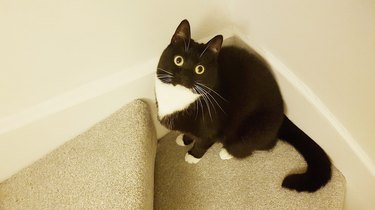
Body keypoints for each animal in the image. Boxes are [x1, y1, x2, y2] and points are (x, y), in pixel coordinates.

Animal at [155, 19, 332, 192]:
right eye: (178, 60)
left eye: (200, 69)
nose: (184, 78)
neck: (178, 100)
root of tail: (282, 115)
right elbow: (190, 133)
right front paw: (184, 138)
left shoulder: (211, 125)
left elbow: (202, 142)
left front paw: (193, 155)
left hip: (255, 127)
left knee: (264, 144)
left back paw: (227, 151)